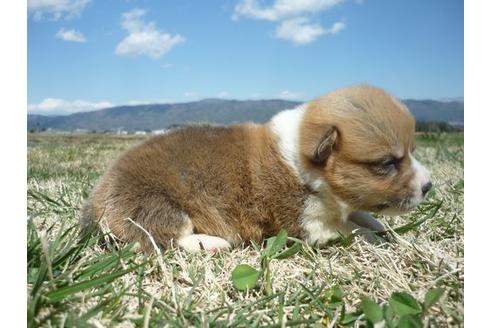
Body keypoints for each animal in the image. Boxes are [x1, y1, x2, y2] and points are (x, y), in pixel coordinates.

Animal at [80, 86, 430, 252]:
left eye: (412, 152)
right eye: (387, 164)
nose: (429, 186)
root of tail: (97, 195)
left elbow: (362, 216)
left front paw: (383, 228)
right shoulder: (304, 223)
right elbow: (351, 230)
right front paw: (379, 239)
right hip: (153, 203)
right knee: (161, 236)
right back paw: (213, 243)